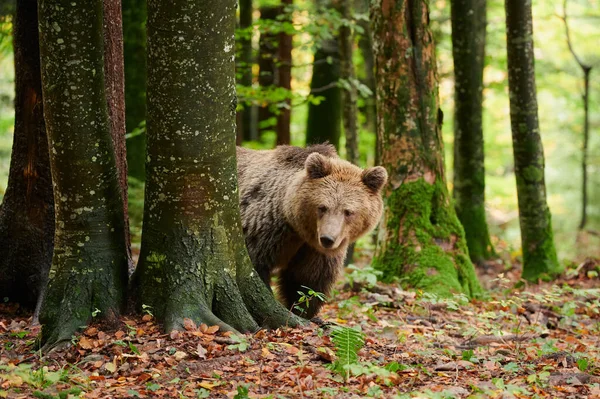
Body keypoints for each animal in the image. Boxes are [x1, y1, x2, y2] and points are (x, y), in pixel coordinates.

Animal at [237, 144, 386, 318]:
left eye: (348, 212)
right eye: (322, 207)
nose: (328, 239)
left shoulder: (313, 251)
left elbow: (308, 281)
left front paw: (304, 312)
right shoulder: (264, 230)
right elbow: (257, 267)